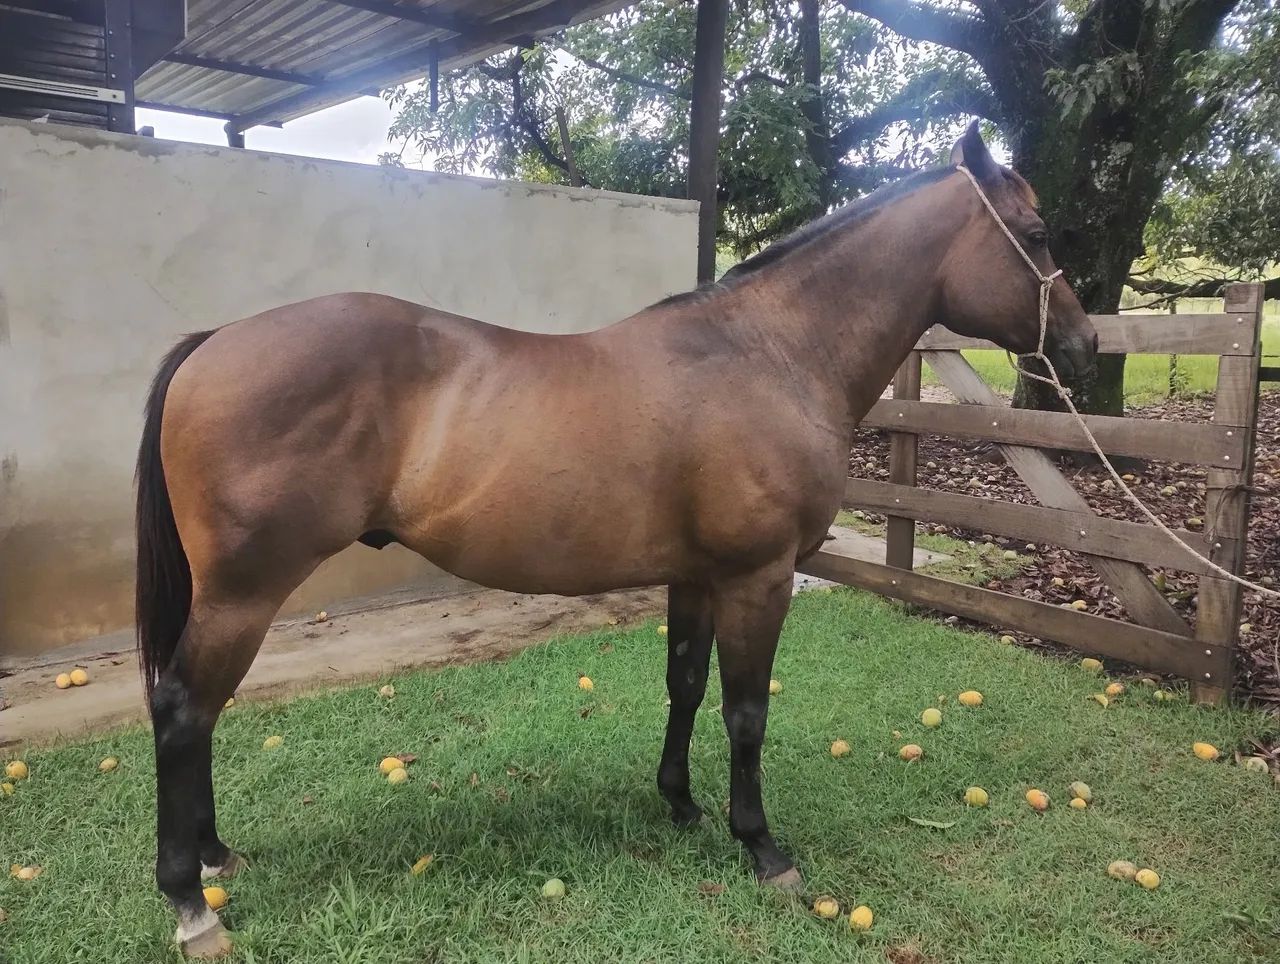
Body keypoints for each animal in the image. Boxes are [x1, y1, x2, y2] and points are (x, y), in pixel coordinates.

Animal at [135, 123, 1096, 957]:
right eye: (1037, 232)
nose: (1084, 343)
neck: (770, 353)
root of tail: (215, 342)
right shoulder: (758, 577)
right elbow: (746, 711)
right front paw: (763, 847)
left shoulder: (697, 576)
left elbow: (685, 685)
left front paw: (680, 805)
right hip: (245, 590)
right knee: (184, 708)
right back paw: (191, 901)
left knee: (201, 709)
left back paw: (216, 857)